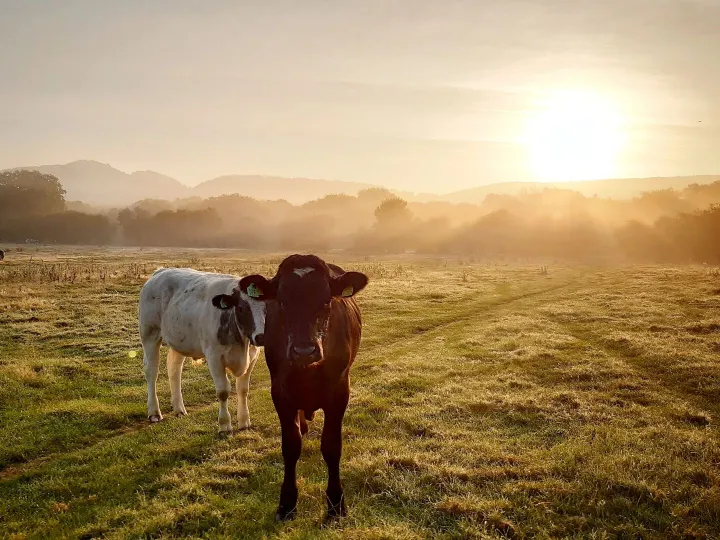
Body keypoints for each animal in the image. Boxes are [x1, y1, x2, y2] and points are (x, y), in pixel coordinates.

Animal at [139, 268, 266, 433]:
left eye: (268, 306)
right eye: (242, 308)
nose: (261, 337)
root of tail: (160, 271)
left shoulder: (252, 357)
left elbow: (243, 389)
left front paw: (244, 422)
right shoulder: (214, 357)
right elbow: (223, 391)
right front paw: (224, 425)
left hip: (180, 339)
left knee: (174, 369)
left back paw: (179, 408)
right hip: (149, 334)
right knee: (151, 371)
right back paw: (154, 412)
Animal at [214, 254, 368, 520]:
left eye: (326, 300)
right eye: (282, 302)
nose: (304, 350)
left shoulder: (340, 392)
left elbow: (332, 446)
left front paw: (336, 503)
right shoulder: (281, 393)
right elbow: (290, 446)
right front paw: (287, 503)